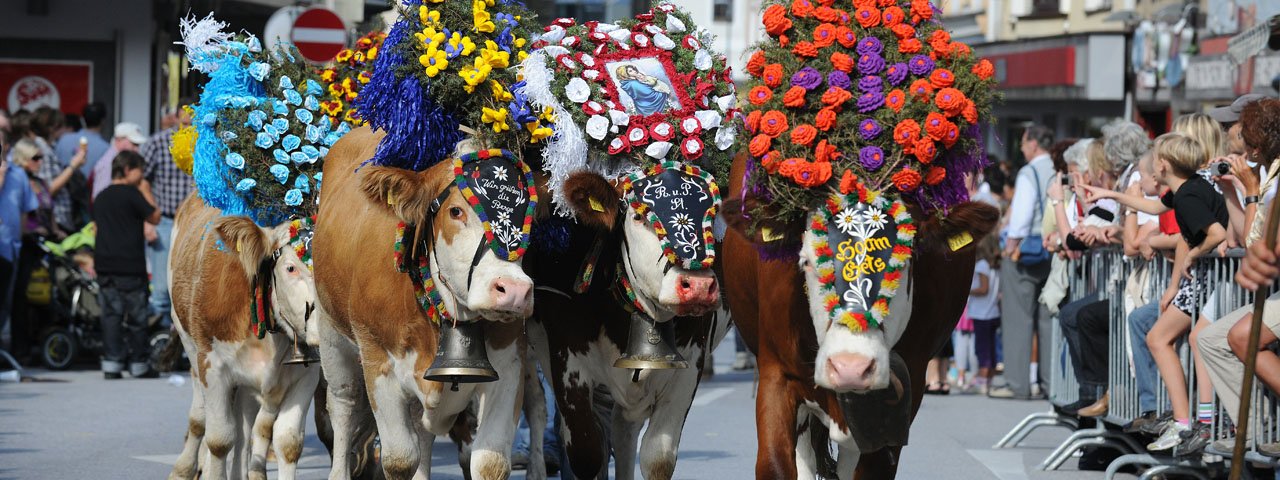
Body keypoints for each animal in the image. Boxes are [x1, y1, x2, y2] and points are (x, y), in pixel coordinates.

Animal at [167, 195, 320, 480]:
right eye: (291, 268)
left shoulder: (307, 375)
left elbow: (288, 443)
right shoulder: (213, 368)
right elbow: (219, 440)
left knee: (246, 429)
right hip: (189, 345)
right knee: (200, 419)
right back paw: (184, 468)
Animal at [314, 126, 535, 480]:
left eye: (529, 215)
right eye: (456, 211)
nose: (513, 290)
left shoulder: (511, 363)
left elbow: (490, 461)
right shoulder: (378, 361)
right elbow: (400, 458)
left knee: (422, 430)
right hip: (331, 334)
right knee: (343, 407)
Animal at [524, 170, 732, 480]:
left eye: (713, 213)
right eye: (638, 216)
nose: (696, 286)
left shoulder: (689, 363)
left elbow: (658, 457)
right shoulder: (566, 358)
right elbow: (587, 454)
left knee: (623, 432)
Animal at [721, 152, 998, 478]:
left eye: (905, 260)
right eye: (806, 260)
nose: (849, 367)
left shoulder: (902, 394)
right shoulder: (776, 373)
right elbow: (776, 465)